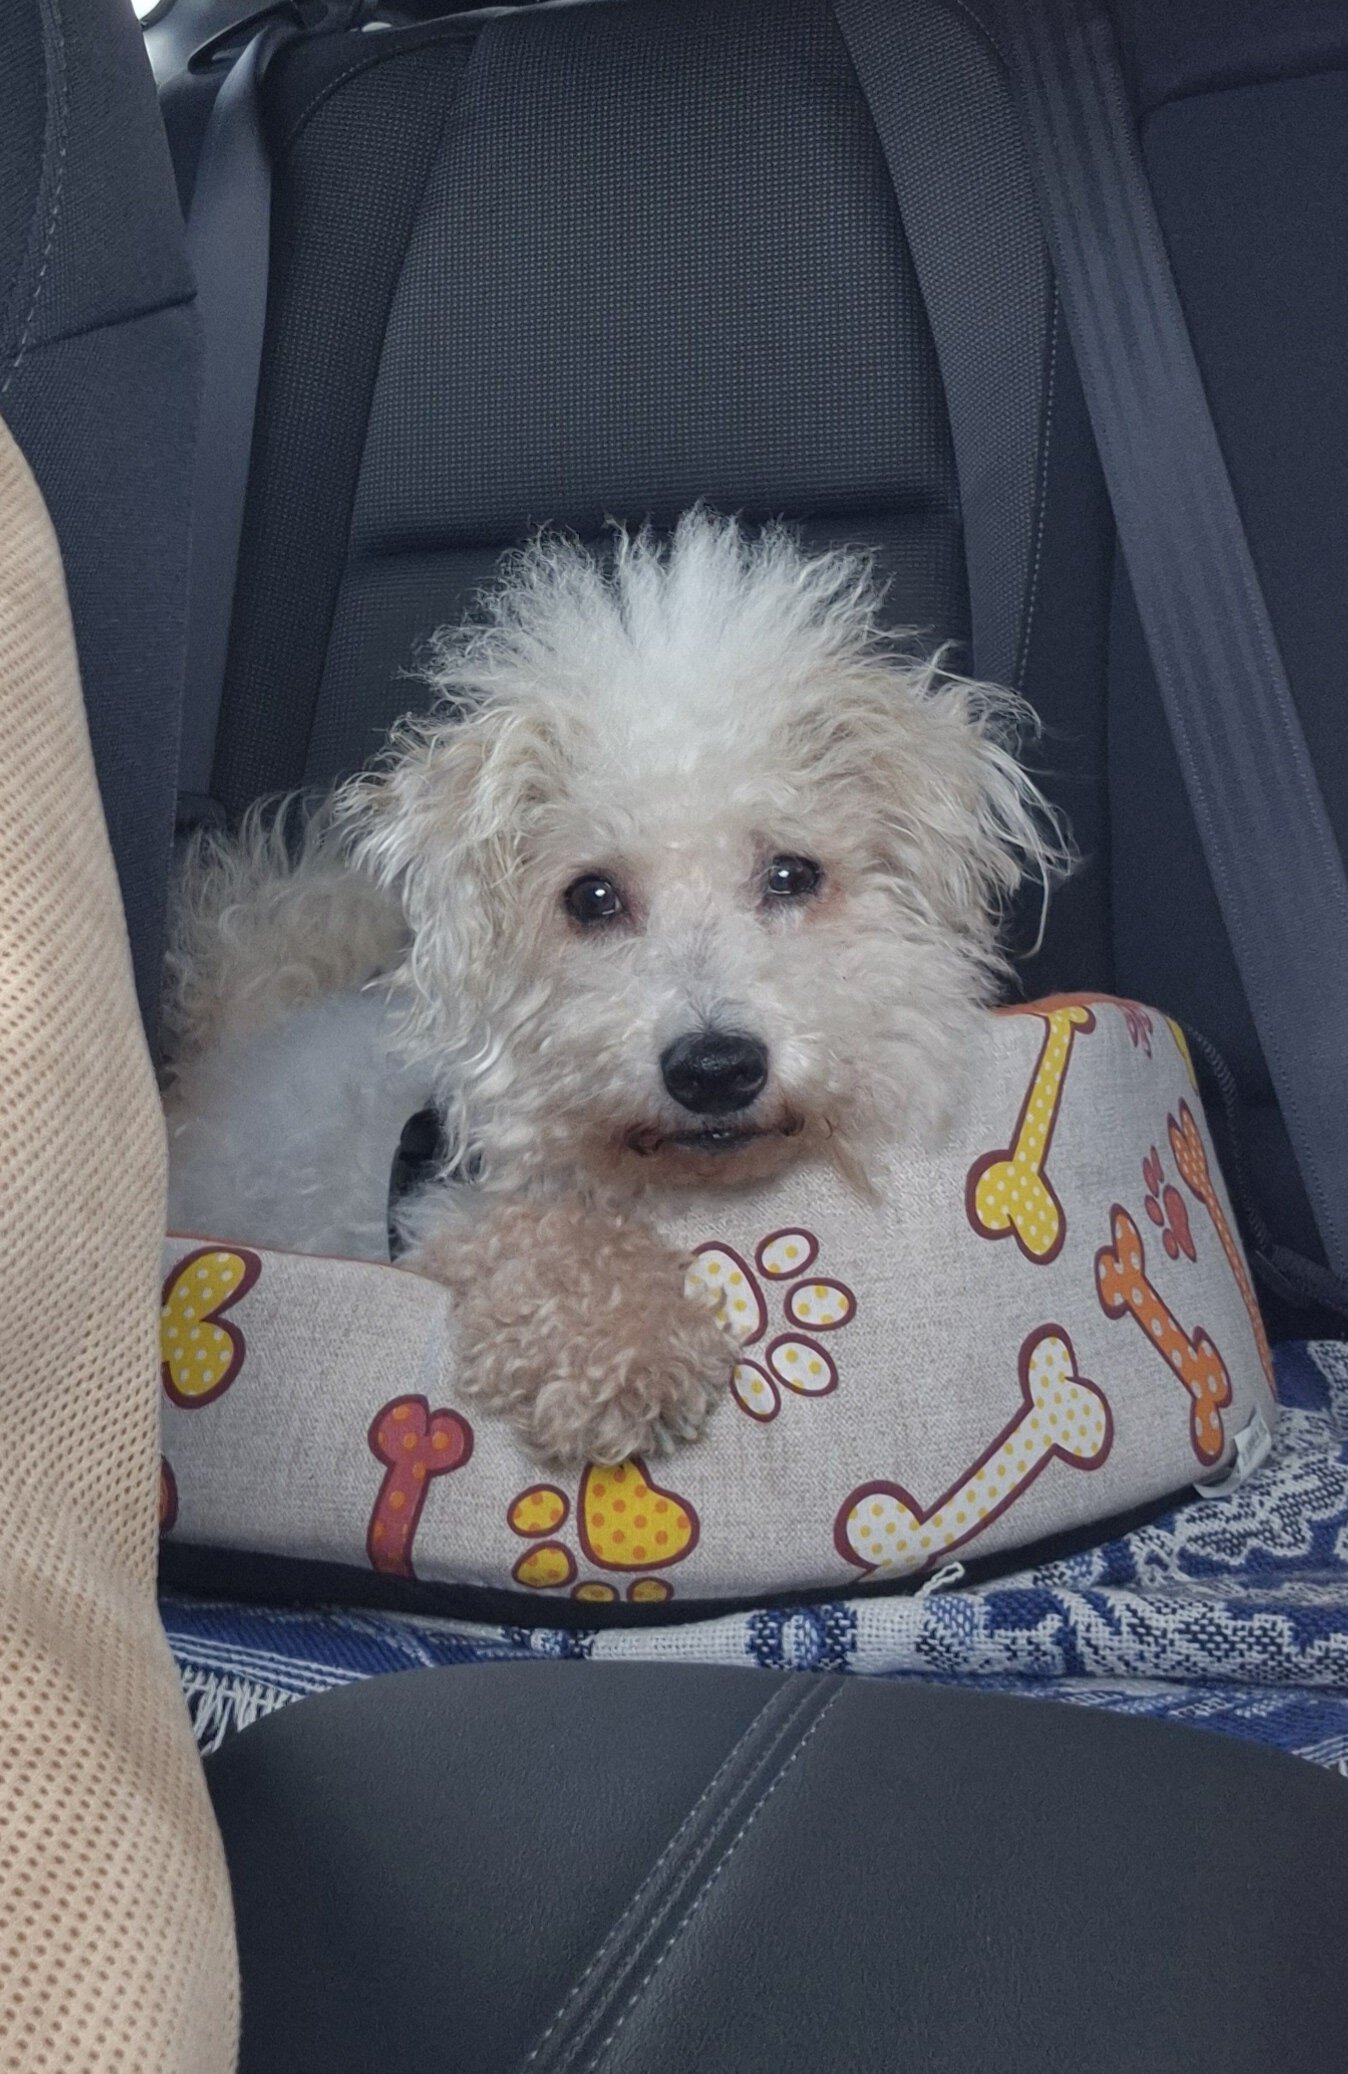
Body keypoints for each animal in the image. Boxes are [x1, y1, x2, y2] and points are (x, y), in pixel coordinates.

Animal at [164, 513, 1065, 1467]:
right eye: (591, 897)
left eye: (792, 874)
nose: (715, 1068)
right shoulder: (444, 1202)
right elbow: (548, 1234)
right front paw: (627, 1347)